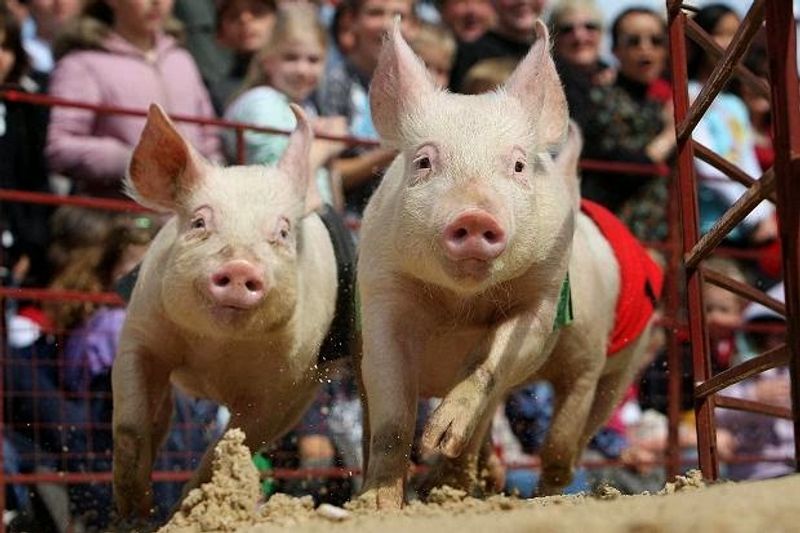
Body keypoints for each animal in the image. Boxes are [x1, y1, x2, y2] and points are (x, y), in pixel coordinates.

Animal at [112, 103, 339, 521]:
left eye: (283, 233)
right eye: (200, 222)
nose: (240, 267)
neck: (215, 352)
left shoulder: (285, 385)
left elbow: (226, 449)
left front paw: (183, 511)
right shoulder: (140, 334)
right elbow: (131, 428)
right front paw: (135, 514)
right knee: (159, 418)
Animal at [356, 21, 661, 508]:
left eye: (518, 165)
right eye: (423, 161)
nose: (475, 216)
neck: (459, 306)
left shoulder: (544, 295)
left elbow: (492, 361)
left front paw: (438, 437)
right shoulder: (382, 290)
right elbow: (392, 417)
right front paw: (378, 502)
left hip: (617, 363)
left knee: (567, 442)